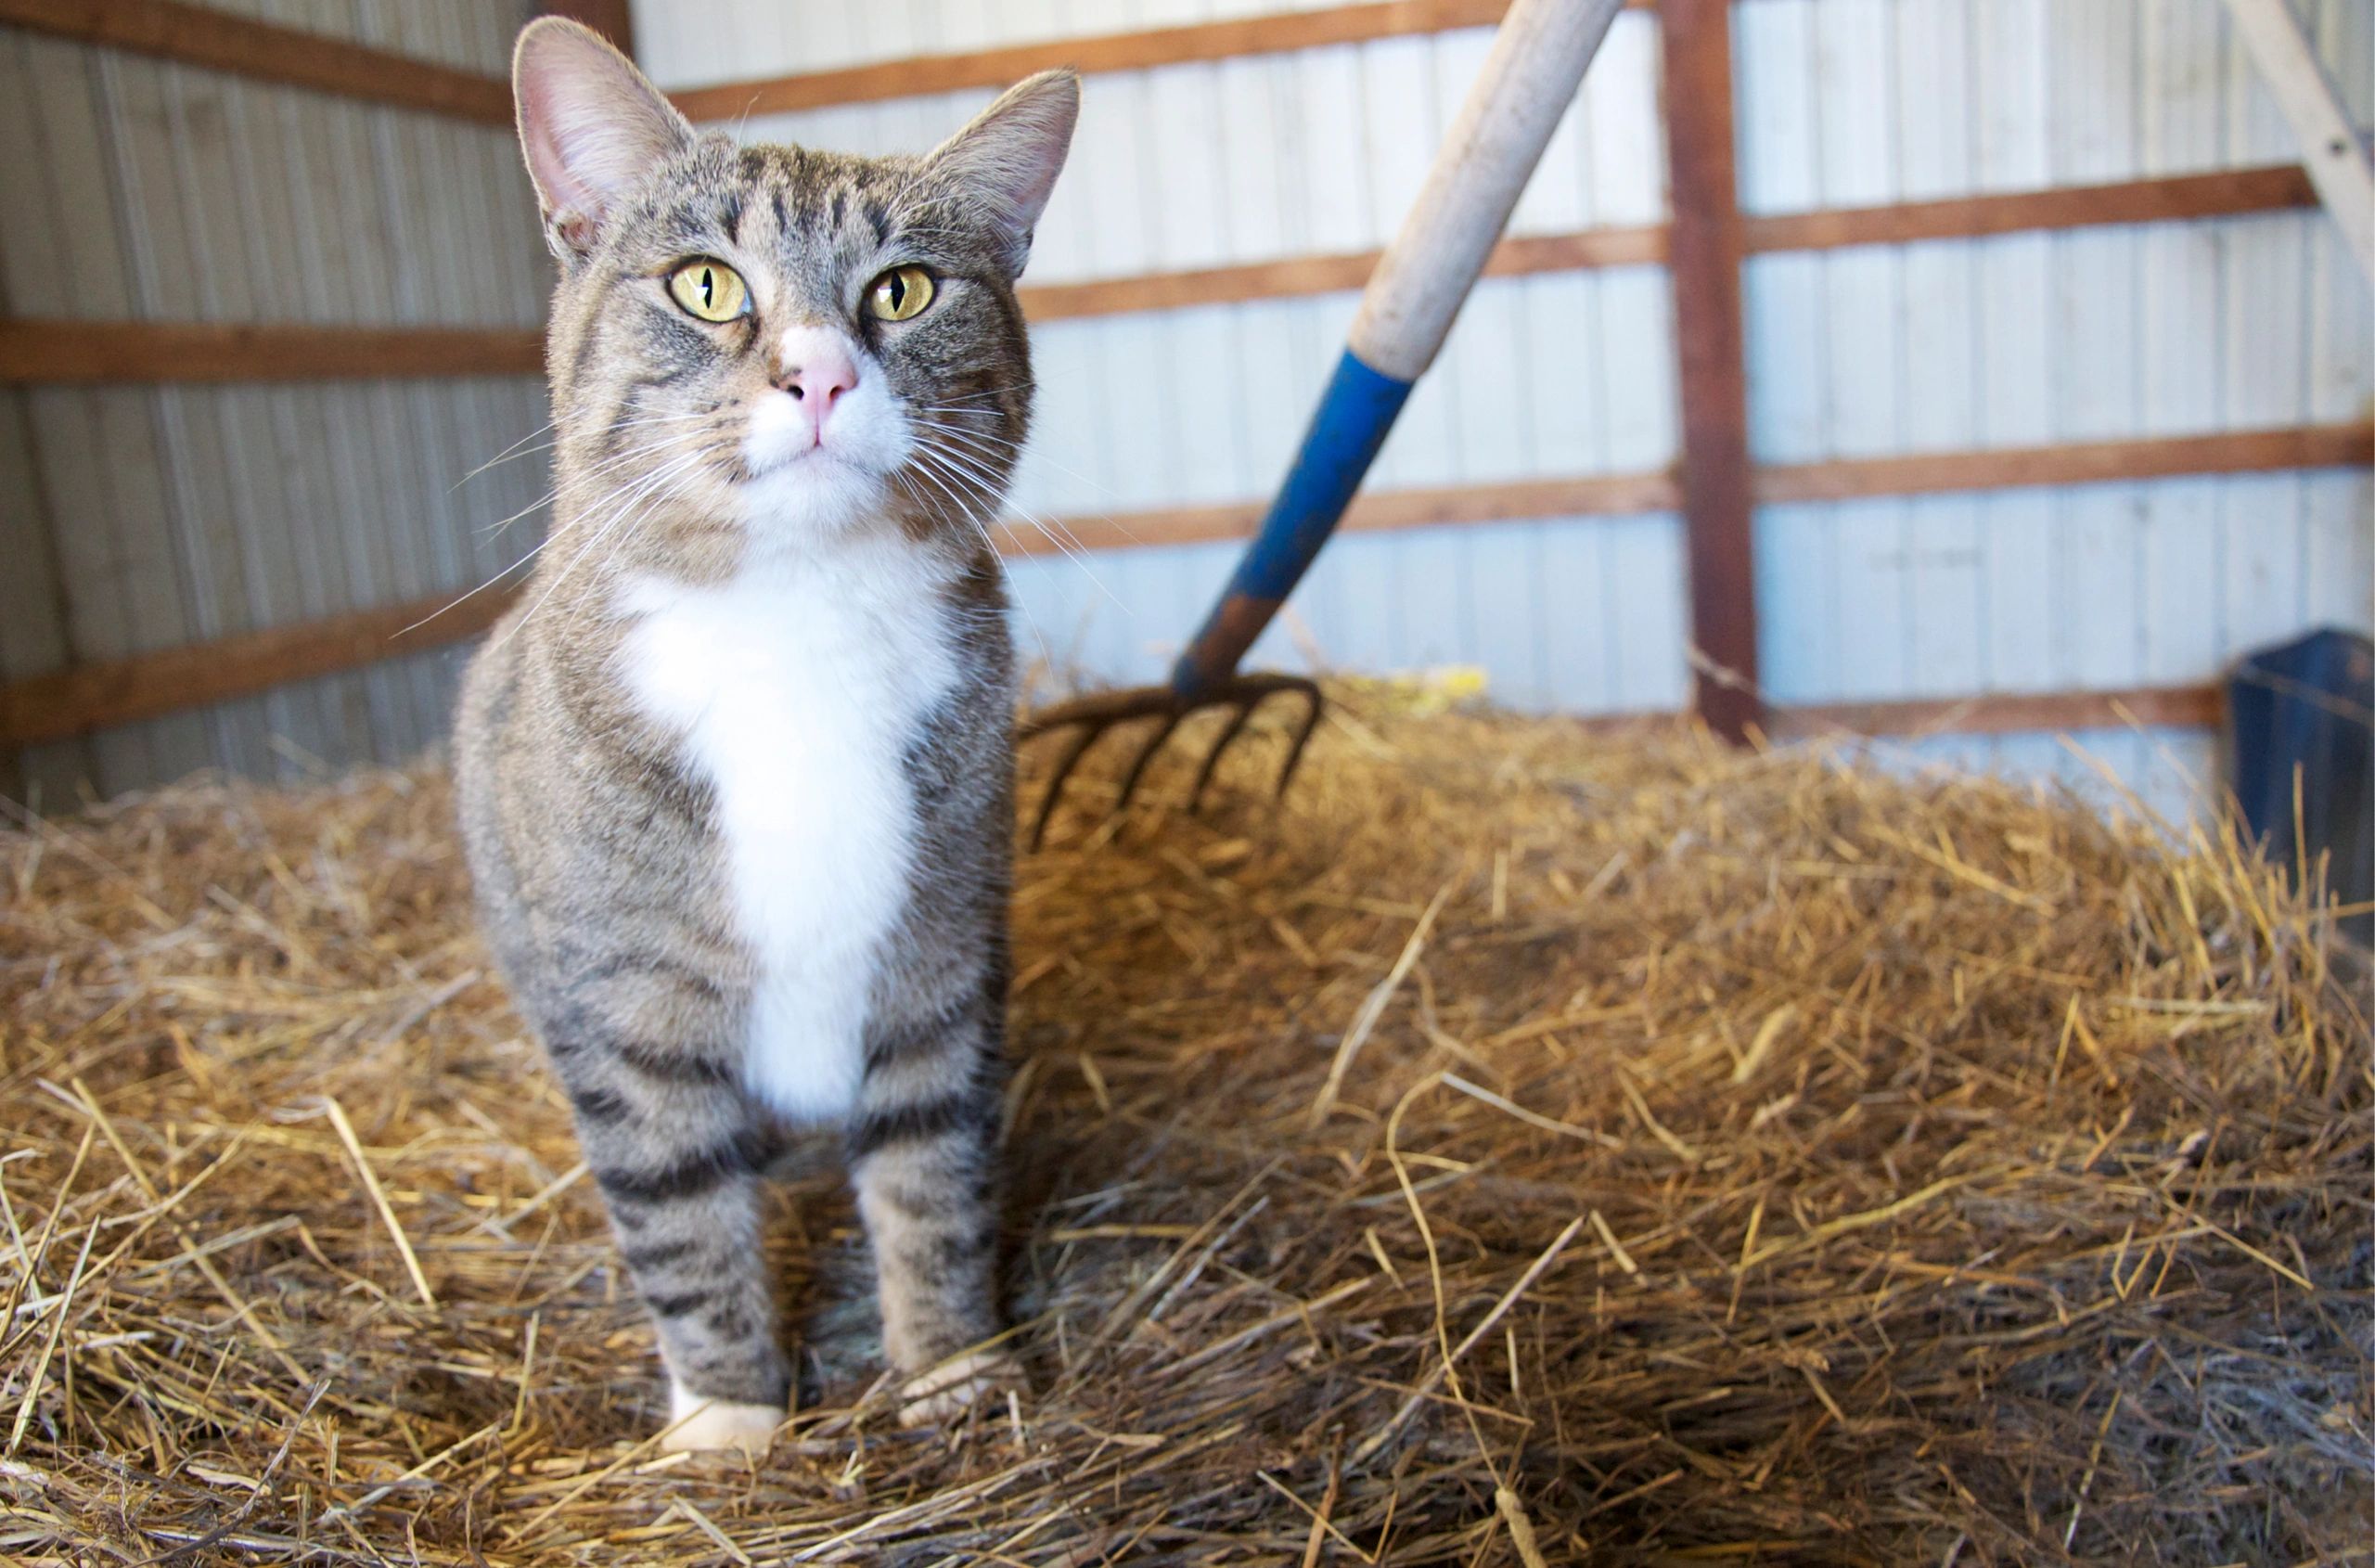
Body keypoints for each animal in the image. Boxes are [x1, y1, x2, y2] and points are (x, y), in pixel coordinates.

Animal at [451, 18, 1078, 1454]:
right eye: (704, 285)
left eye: (904, 292)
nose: (823, 372)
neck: (798, 618)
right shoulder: (627, 1004)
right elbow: (678, 1208)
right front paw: (729, 1421)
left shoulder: (940, 955)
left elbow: (931, 1168)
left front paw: (951, 1366)